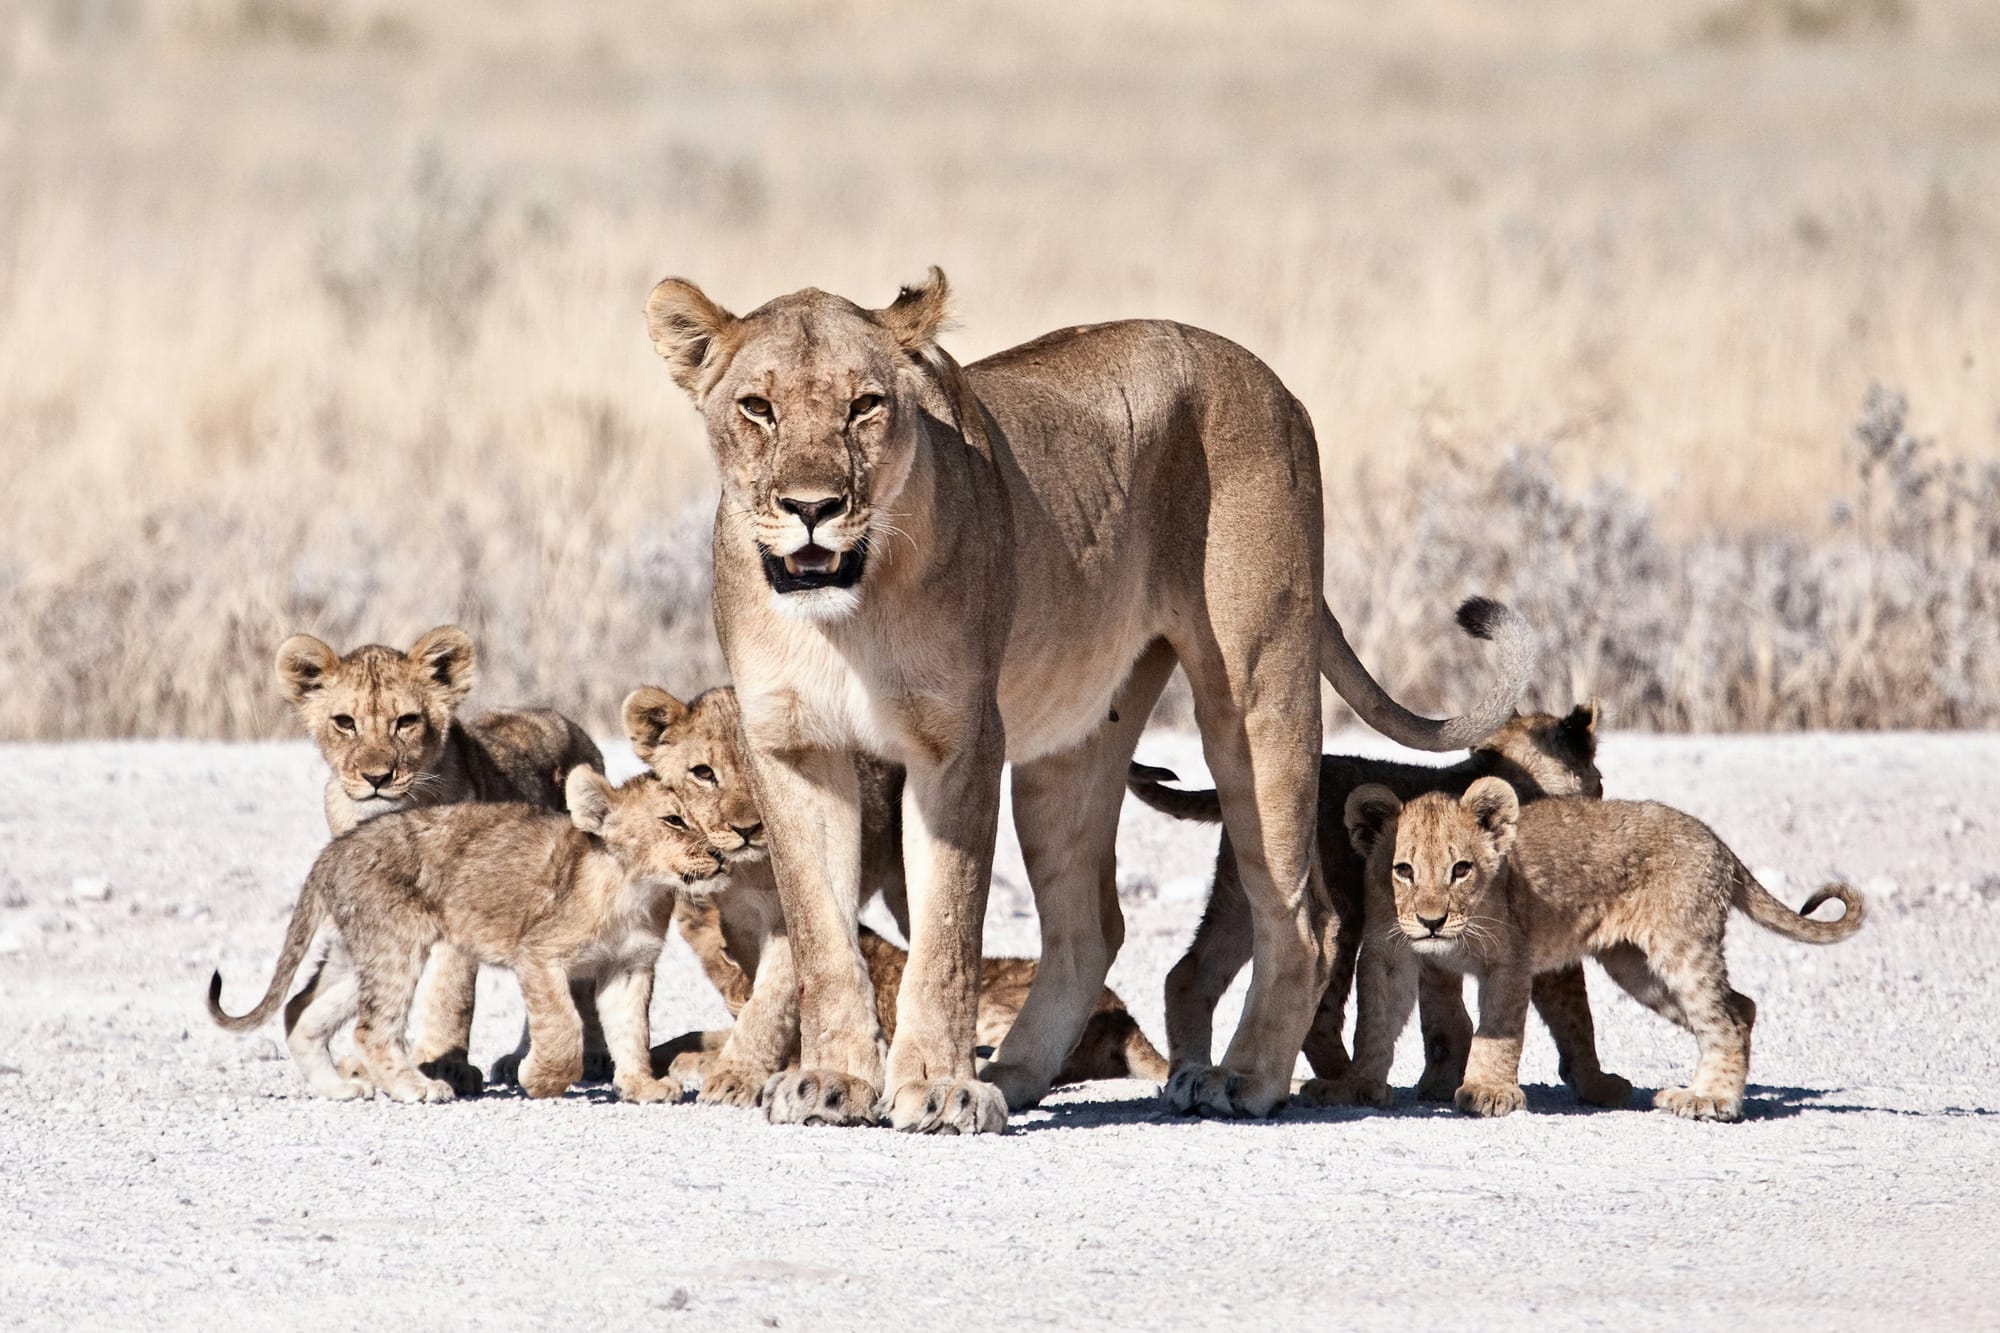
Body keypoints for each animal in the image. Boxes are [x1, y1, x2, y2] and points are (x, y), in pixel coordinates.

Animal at [208, 767, 725, 1103]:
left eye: (703, 819)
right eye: (674, 820)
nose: (721, 855)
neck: (637, 889)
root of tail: (333, 850)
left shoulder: (630, 966)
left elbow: (631, 1030)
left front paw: (643, 1086)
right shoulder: (539, 954)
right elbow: (563, 1028)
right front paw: (538, 1079)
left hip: (357, 954)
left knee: (301, 1010)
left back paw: (337, 1088)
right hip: (396, 943)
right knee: (371, 1028)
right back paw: (416, 1088)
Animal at [275, 625, 605, 1093]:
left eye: (406, 721)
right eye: (344, 723)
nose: (377, 778)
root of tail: (568, 723)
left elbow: (451, 991)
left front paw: (444, 1064)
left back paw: (587, 1058)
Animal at [644, 268, 1533, 1131]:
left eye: (866, 405)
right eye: (757, 407)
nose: (812, 509)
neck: (844, 616)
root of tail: (1273, 384)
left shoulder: (960, 744)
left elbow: (946, 933)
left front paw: (938, 1088)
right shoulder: (793, 748)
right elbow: (821, 936)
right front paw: (835, 1081)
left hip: (1256, 694)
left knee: (1303, 917)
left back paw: (1240, 1077)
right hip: (1069, 752)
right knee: (1090, 927)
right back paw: (1015, 1072)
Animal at [1129, 703, 1631, 1109]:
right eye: (1602, 777)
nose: (1602, 800)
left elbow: (1445, 1016)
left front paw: (1440, 1081)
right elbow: (1575, 1015)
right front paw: (1598, 1084)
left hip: (1242, 896)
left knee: (1188, 976)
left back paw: (1188, 1078)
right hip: (1342, 910)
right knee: (1320, 1008)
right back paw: (1340, 1082)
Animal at [1316, 778, 1864, 1121]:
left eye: (1461, 869)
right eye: (1402, 870)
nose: (1432, 922)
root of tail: (1716, 841)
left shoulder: (1510, 957)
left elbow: (1498, 1030)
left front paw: (1488, 1092)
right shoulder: (1389, 953)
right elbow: (1374, 1024)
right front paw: (1354, 1085)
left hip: (1680, 946)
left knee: (1723, 1017)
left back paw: (1709, 1100)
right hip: (1638, 968)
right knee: (1741, 1006)